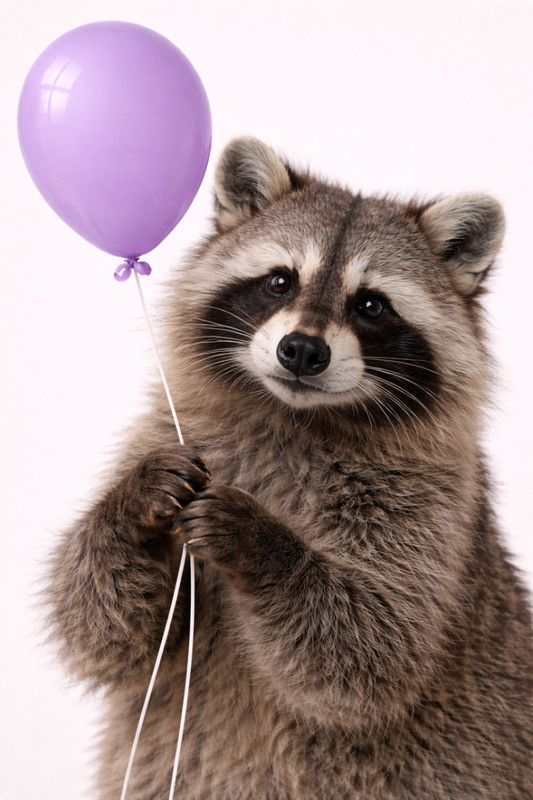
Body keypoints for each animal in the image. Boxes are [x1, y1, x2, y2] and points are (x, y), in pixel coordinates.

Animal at [47, 138, 533, 799]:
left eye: (371, 304)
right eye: (280, 280)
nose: (302, 350)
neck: (294, 415)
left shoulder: (433, 505)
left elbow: (375, 646)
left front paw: (262, 541)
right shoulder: (172, 430)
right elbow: (100, 625)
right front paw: (131, 505)